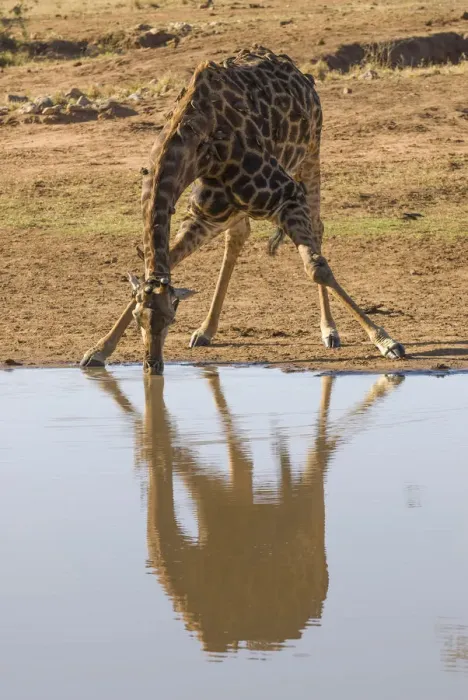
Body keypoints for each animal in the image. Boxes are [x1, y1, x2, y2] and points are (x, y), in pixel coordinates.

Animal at [81, 46, 405, 374]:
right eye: (138, 320)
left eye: (172, 318)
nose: (153, 366)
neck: (199, 143)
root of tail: (295, 69)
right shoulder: (204, 214)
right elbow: (169, 259)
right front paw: (98, 350)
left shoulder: (286, 196)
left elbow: (316, 268)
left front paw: (386, 341)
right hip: (233, 206)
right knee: (238, 237)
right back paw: (206, 330)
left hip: (311, 154)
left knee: (317, 228)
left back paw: (330, 331)